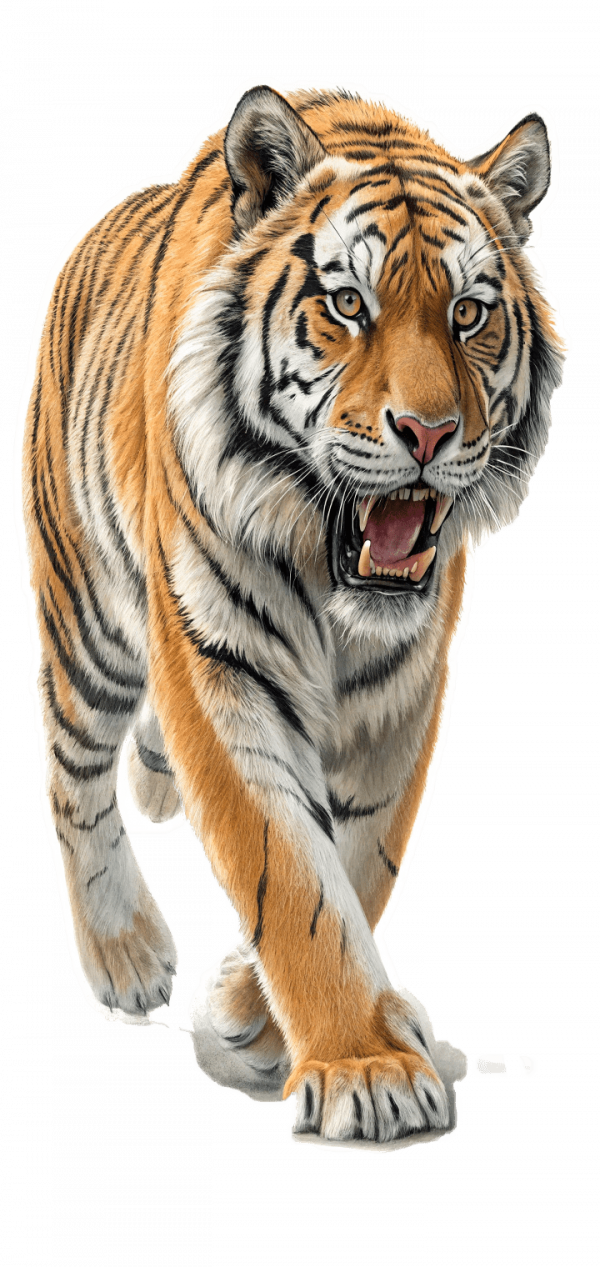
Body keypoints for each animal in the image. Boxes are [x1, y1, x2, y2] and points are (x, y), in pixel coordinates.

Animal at [18, 80, 567, 1145]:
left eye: (469, 312)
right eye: (348, 304)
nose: (430, 432)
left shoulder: (404, 689)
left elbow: (359, 858)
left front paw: (249, 1010)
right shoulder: (220, 668)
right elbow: (292, 870)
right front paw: (366, 1071)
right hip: (89, 622)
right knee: (72, 772)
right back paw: (122, 950)